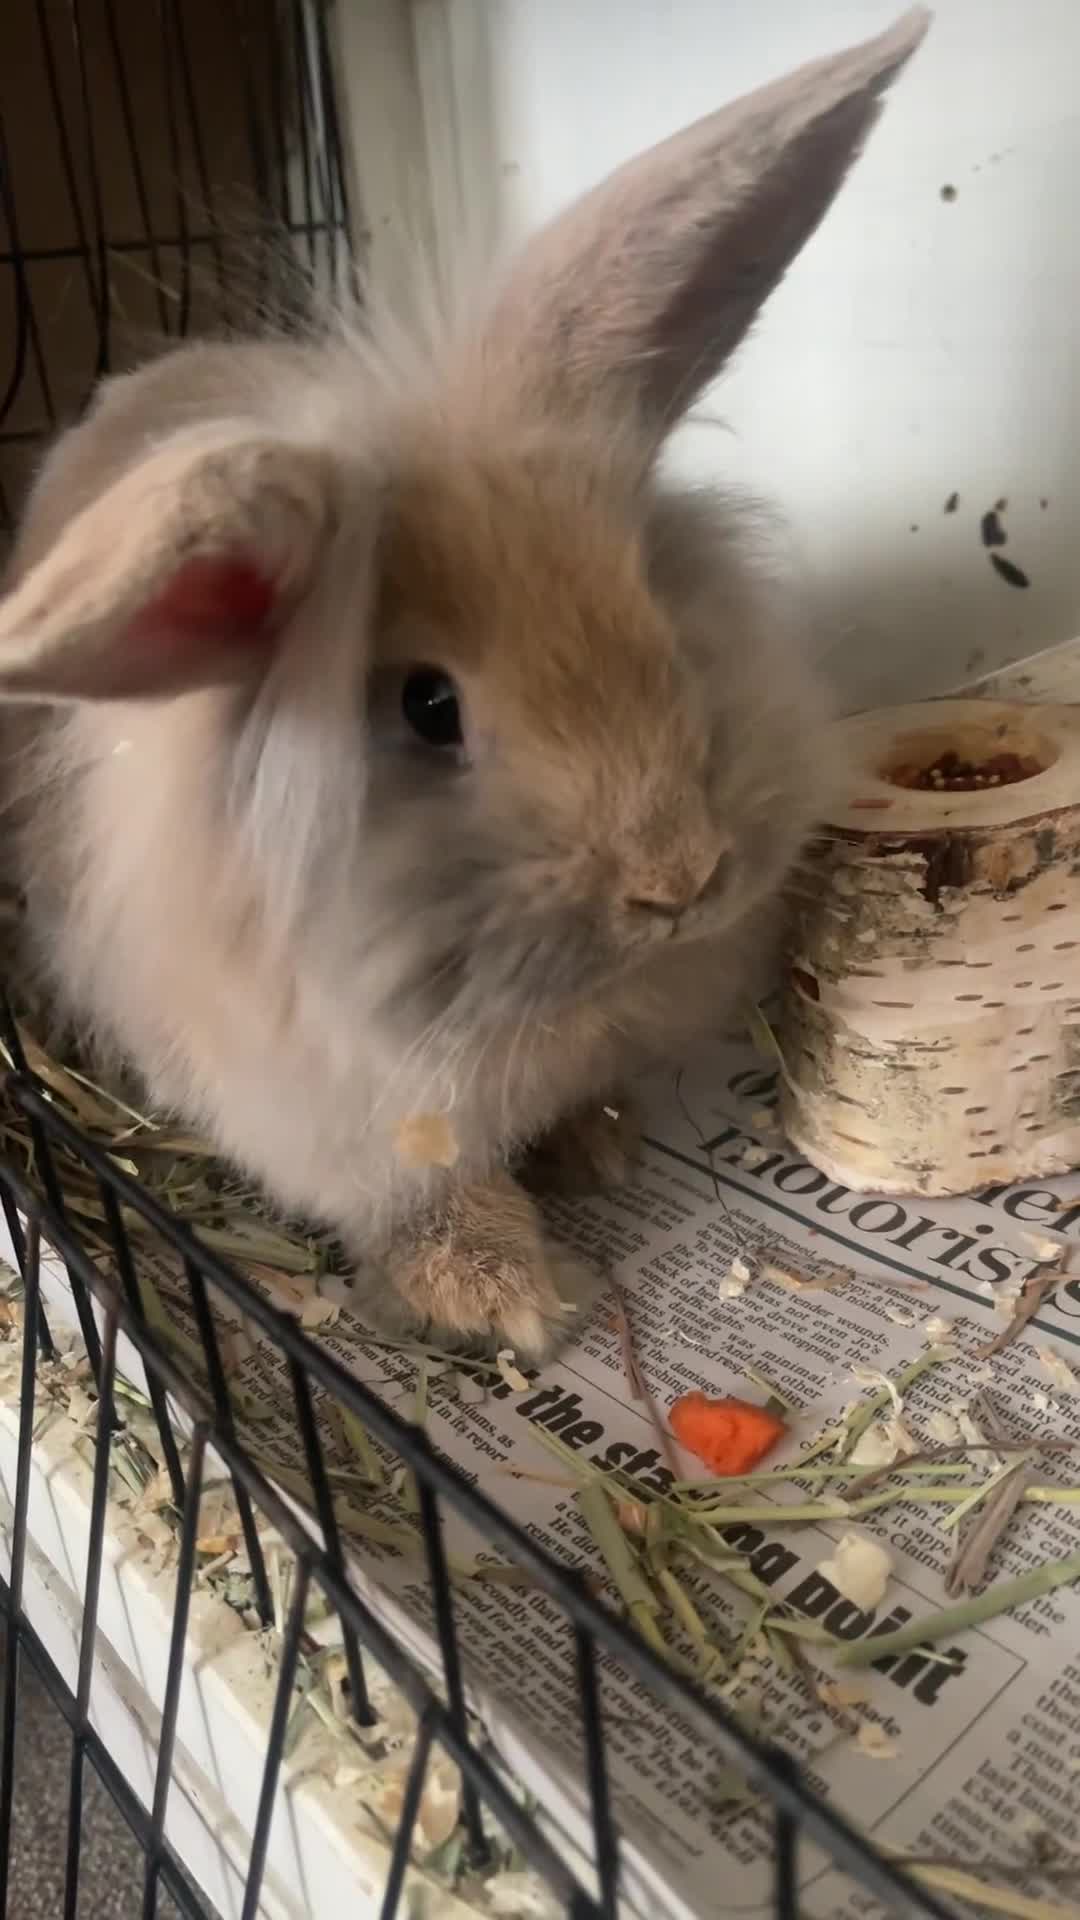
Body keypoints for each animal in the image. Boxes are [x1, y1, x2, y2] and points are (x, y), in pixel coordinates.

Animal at [0, 11, 928, 1359]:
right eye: (427, 708)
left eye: (656, 606)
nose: (681, 880)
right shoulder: (348, 1127)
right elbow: (429, 1206)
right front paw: (510, 1299)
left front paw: (599, 1149)